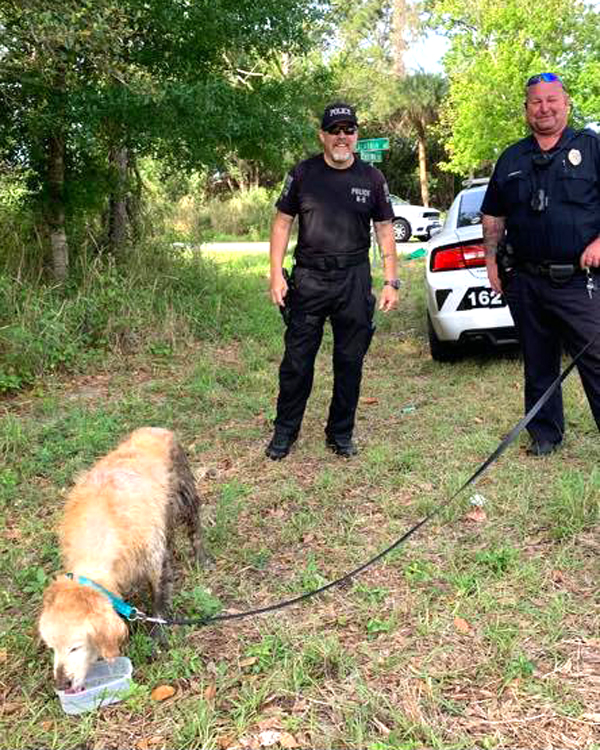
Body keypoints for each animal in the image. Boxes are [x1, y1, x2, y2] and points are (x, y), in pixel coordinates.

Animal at [38, 428, 211, 692]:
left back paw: (201, 558)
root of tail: (157, 428)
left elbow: (159, 602)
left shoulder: (154, 560)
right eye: (52, 647)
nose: (62, 684)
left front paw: (158, 638)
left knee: (195, 529)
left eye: (75, 647)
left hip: (185, 496)